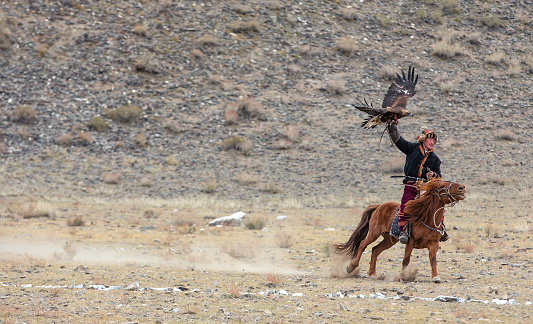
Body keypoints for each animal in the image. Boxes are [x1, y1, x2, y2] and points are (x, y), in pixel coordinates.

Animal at [334, 178, 464, 282]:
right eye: (442, 186)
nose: (461, 188)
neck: (426, 218)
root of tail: (379, 206)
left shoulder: (434, 243)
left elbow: (433, 260)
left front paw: (435, 277)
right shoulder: (410, 241)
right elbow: (406, 260)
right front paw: (403, 276)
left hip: (389, 239)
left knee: (375, 250)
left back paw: (373, 274)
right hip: (374, 233)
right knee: (362, 244)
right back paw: (351, 266)